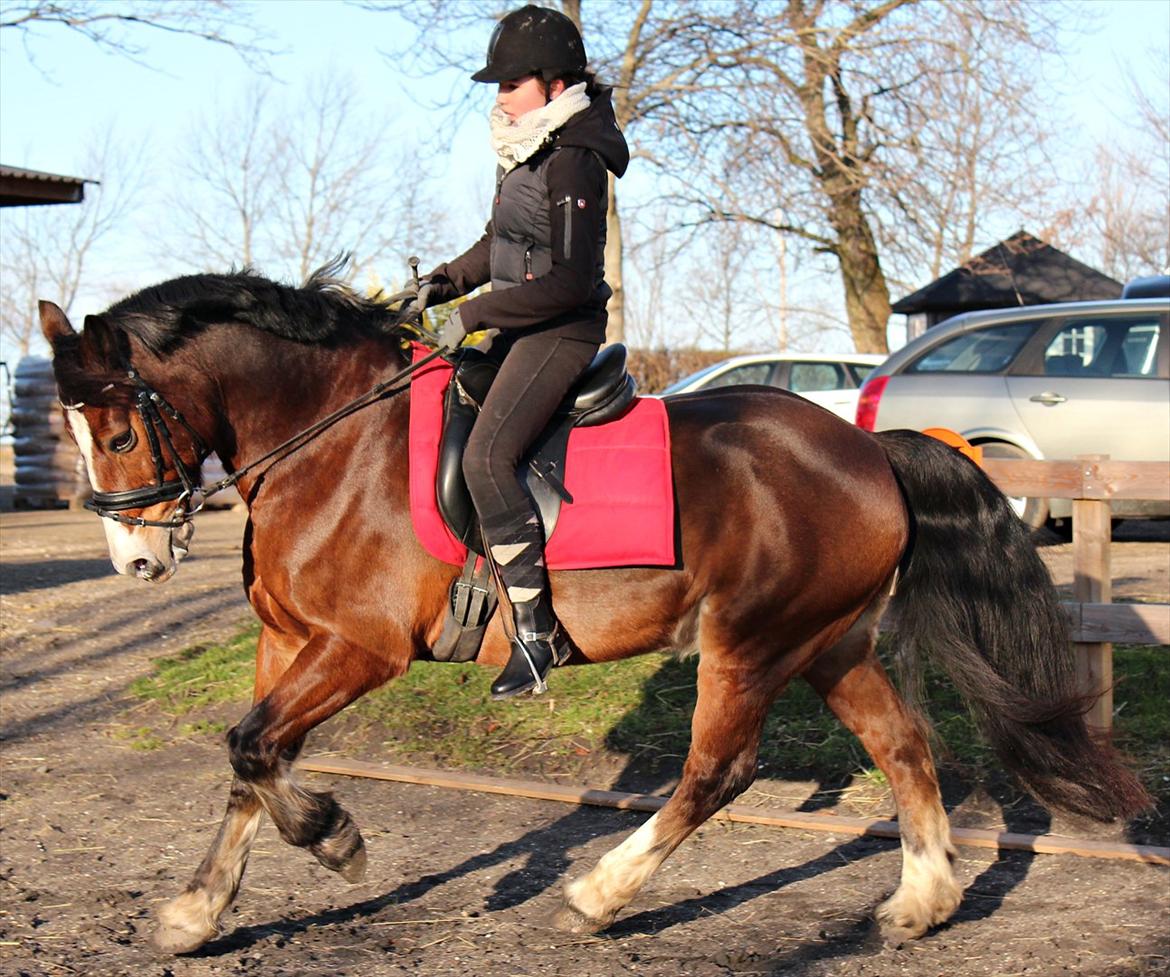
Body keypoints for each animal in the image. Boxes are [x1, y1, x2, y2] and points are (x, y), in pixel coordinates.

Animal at [38, 267, 1151, 954]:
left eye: (120, 428)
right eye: (76, 428)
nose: (137, 558)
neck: (330, 438)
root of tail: (870, 448)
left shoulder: (359, 647)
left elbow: (257, 751)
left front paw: (336, 837)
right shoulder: (287, 642)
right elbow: (248, 761)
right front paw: (195, 911)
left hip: (750, 641)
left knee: (718, 770)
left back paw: (599, 892)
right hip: (828, 644)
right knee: (907, 748)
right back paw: (921, 903)